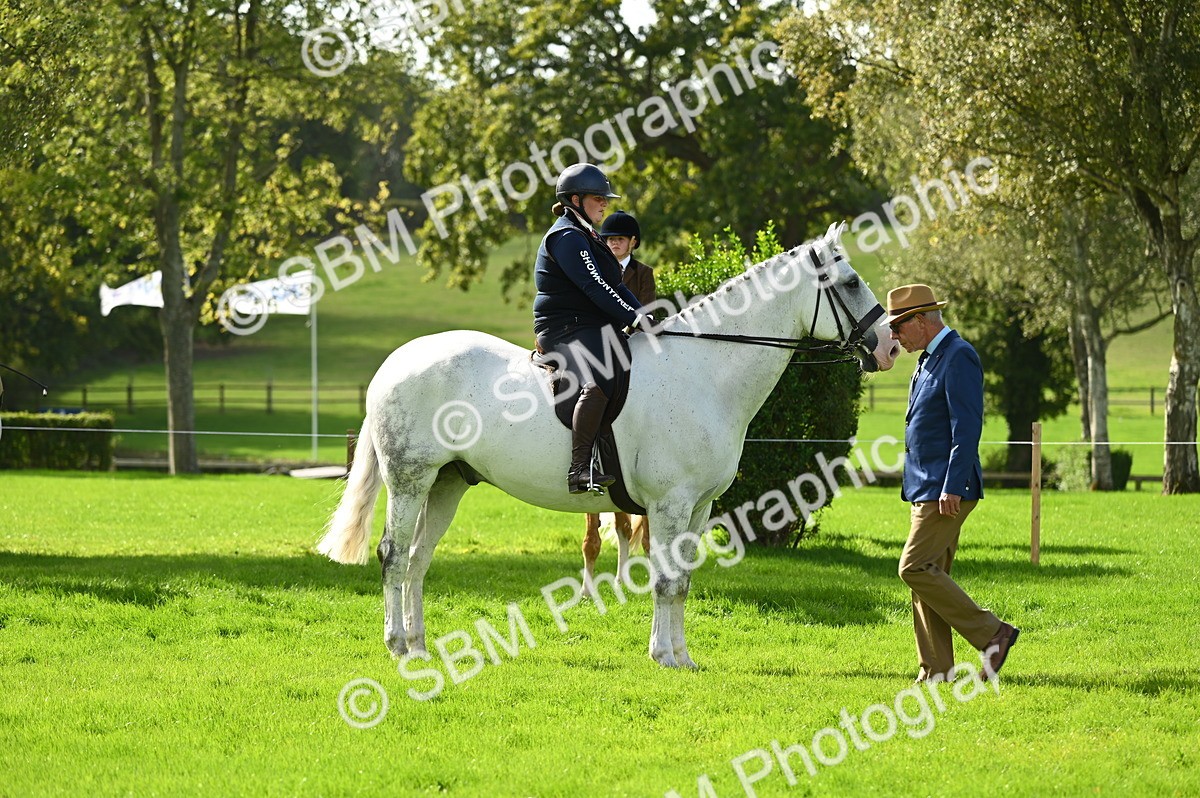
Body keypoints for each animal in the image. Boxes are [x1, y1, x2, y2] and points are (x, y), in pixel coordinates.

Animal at [317, 223, 899, 668]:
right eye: (849, 282)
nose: (889, 346)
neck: (703, 371)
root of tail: (395, 362)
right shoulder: (669, 505)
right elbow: (664, 581)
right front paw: (663, 656)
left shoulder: (698, 507)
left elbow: (683, 581)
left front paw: (682, 656)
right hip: (410, 480)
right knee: (394, 555)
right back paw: (397, 645)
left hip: (447, 485)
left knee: (418, 559)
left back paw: (418, 644)